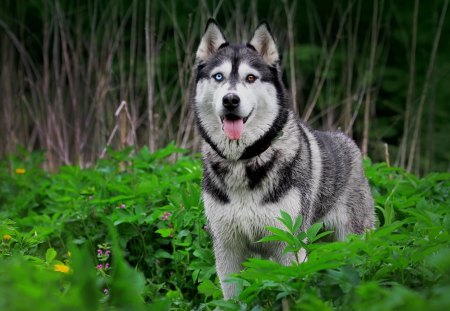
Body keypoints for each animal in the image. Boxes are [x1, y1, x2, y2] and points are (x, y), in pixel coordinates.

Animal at [192, 20, 374, 300]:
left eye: (251, 77)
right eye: (218, 76)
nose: (231, 99)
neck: (243, 160)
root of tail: (349, 142)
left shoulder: (289, 244)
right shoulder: (227, 247)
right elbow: (233, 296)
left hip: (352, 238)